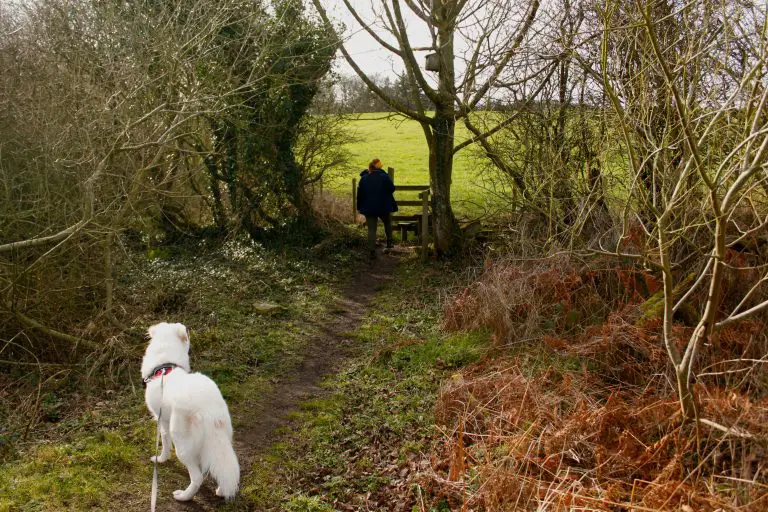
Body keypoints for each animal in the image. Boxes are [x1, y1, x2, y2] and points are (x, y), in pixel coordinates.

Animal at [142, 322, 240, 502]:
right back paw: (221, 490)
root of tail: (209, 410)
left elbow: (164, 443)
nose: (187, 328)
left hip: (181, 443)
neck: (164, 364)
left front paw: (161, 459)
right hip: (221, 440)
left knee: (197, 477)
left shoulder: (162, 421)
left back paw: (183, 496)